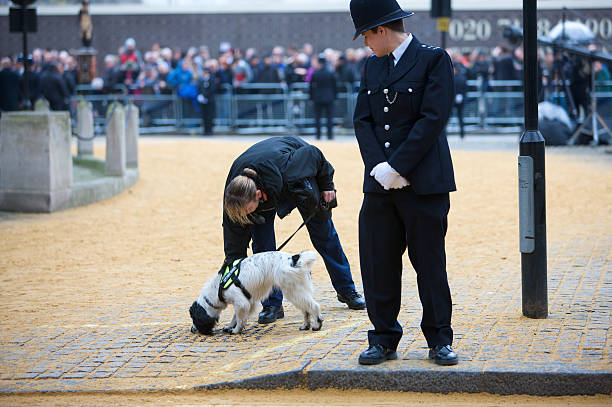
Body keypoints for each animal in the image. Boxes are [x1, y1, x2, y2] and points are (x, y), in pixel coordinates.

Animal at [190, 252, 326, 334]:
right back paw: (305, 325)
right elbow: (236, 317)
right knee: (306, 309)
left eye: (194, 319)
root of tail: (293, 259)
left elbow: (239, 318)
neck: (217, 287)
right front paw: (230, 326)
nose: (192, 329)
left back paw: (317, 325)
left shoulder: (241, 302)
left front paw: (236, 330)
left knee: (314, 306)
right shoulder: (247, 302)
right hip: (298, 291)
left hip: (293, 292)